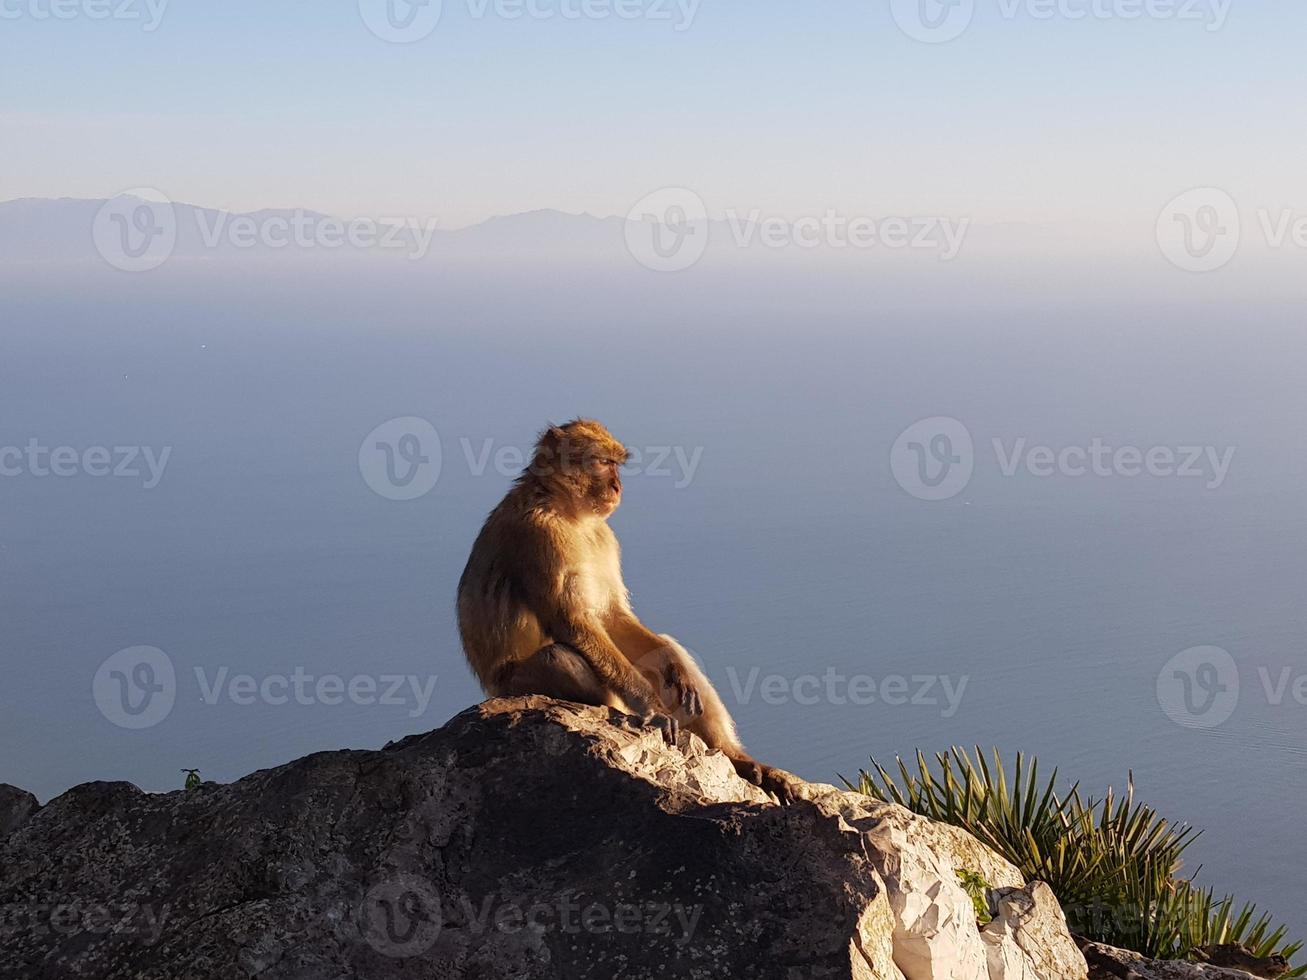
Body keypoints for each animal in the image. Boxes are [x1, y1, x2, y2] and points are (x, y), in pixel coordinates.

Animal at [460, 418, 805, 799]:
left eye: (616, 464)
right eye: (602, 463)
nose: (617, 485)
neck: (567, 511)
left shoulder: (603, 536)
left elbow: (613, 617)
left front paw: (672, 665)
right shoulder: (540, 536)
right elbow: (575, 623)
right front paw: (650, 706)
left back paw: (739, 759)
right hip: (514, 685)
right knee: (559, 657)